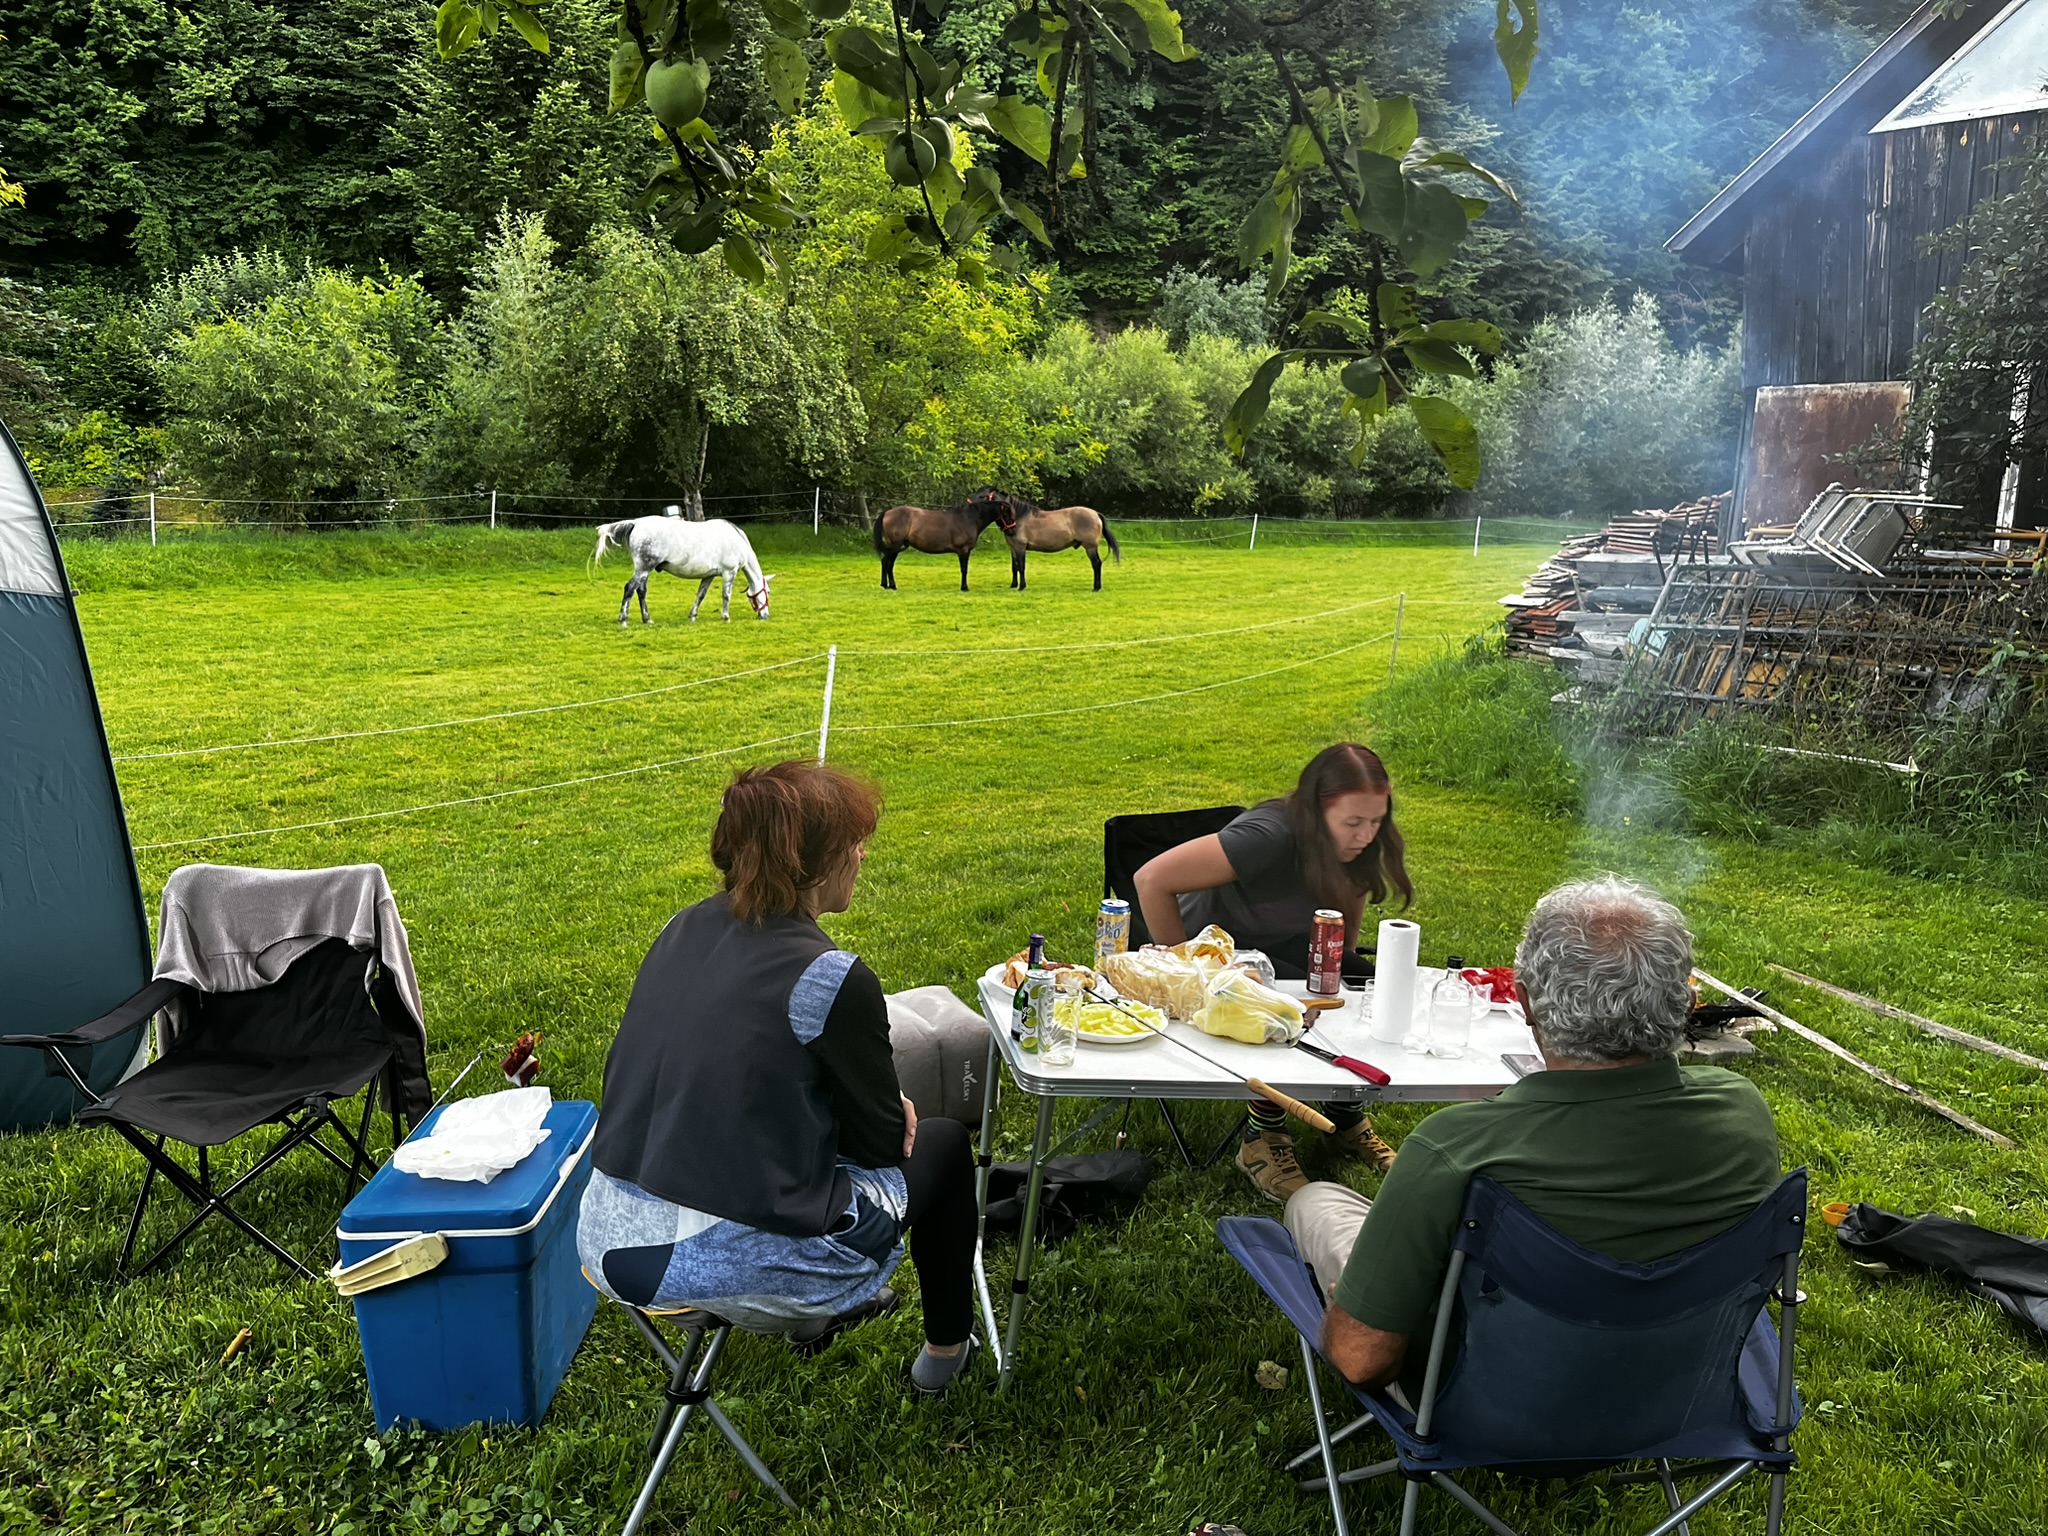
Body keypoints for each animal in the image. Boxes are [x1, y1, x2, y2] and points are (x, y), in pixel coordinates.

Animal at [598, 518, 782, 626]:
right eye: (768, 592)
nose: (765, 615)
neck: (736, 540)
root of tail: (636, 523)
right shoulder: (729, 572)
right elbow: (726, 596)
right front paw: (726, 617)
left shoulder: (709, 575)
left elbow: (700, 595)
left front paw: (692, 616)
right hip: (644, 568)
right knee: (630, 588)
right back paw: (623, 619)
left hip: (644, 570)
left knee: (641, 591)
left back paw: (647, 619)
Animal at [872, 495, 1015, 593]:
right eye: (1008, 515)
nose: (1012, 530)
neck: (969, 518)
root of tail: (887, 512)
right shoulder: (963, 550)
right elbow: (964, 569)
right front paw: (964, 588)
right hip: (894, 546)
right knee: (888, 563)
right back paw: (892, 586)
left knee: (886, 562)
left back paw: (887, 585)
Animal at [970, 489, 1130, 593]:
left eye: (982, 495)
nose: (969, 502)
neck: (1018, 518)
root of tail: (1095, 513)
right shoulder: (1013, 548)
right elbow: (1014, 567)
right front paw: (1013, 585)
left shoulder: (1021, 547)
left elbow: (1021, 567)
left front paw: (1022, 587)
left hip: (1090, 547)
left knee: (1096, 564)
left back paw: (1096, 587)